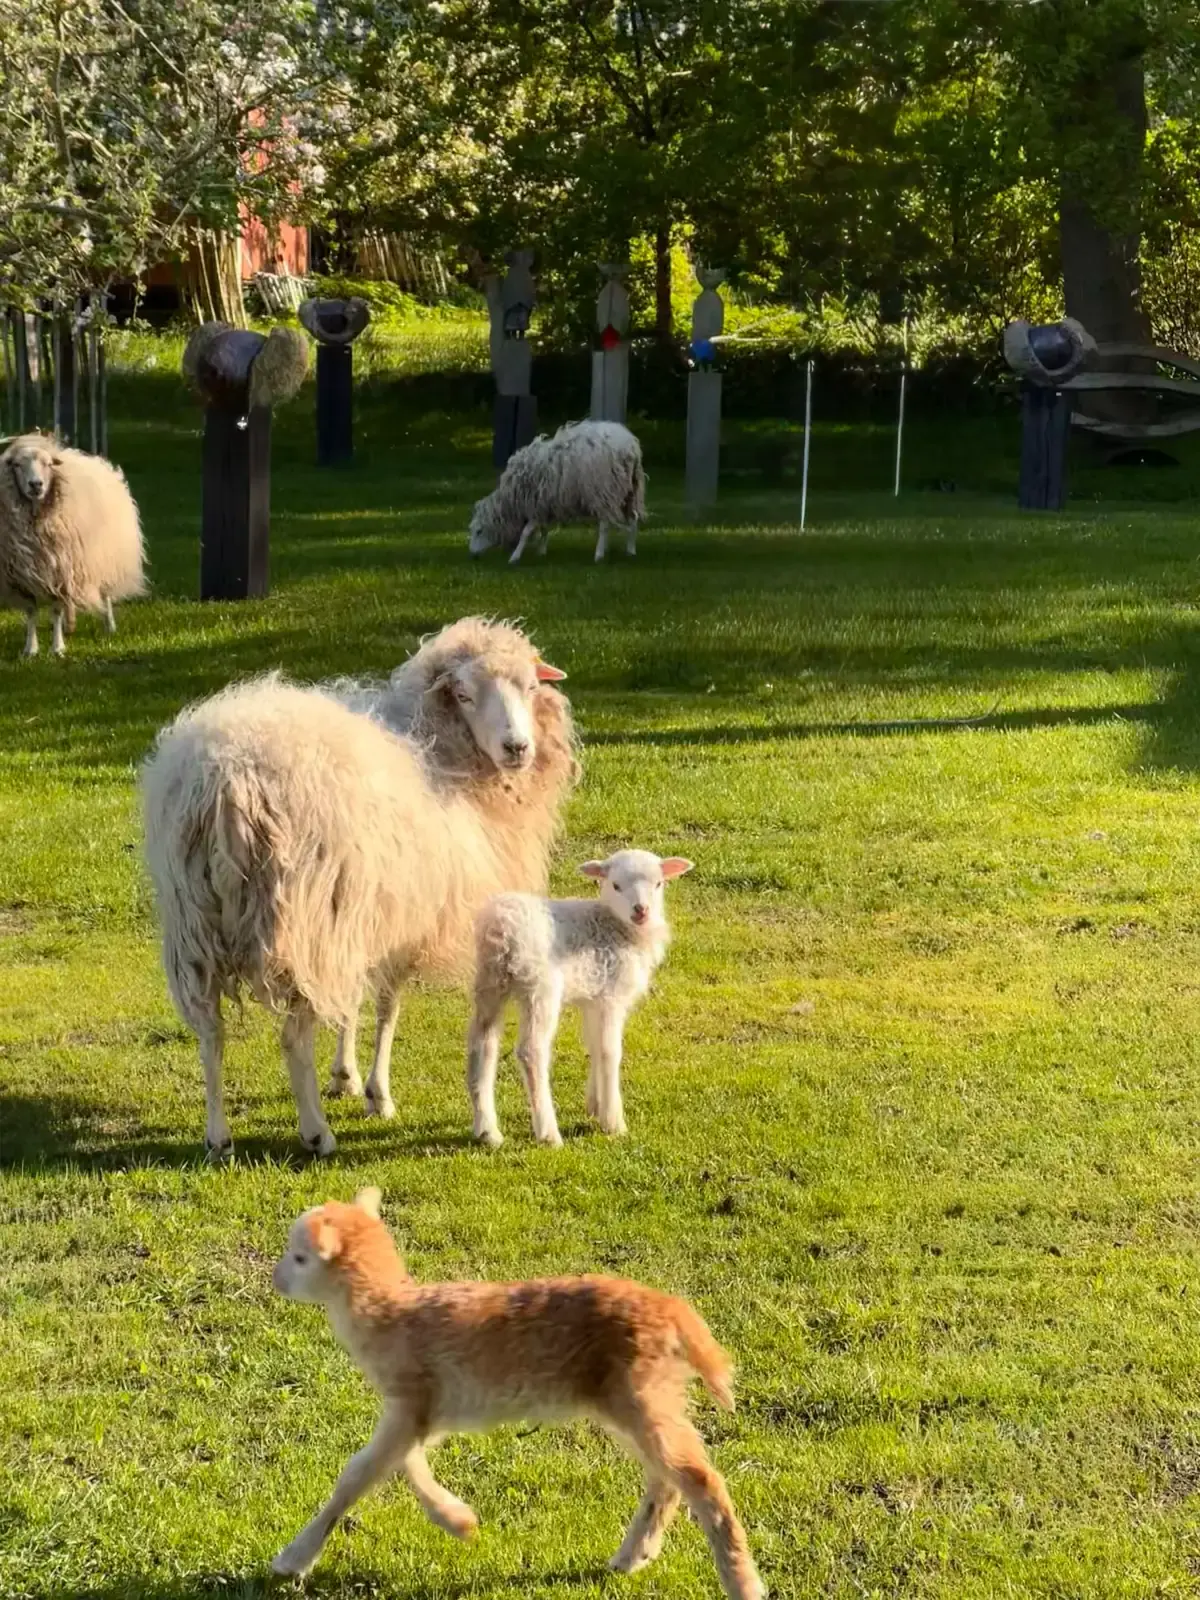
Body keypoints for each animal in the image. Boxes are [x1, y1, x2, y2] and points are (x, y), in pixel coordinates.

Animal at [0, 433, 146, 657]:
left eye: (48, 464)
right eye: (17, 465)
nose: (36, 485)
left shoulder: (62, 572)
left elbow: (56, 610)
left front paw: (57, 648)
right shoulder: (23, 576)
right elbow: (31, 612)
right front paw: (30, 649)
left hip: (104, 560)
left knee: (106, 596)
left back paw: (109, 625)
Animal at [141, 618, 577, 1160]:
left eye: (531, 687)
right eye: (463, 694)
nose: (518, 748)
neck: (434, 744)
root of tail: (228, 784)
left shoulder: (363, 914)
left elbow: (350, 1004)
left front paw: (344, 1076)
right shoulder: (396, 922)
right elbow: (388, 1007)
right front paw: (377, 1093)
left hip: (195, 926)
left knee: (209, 1032)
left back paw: (218, 1136)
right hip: (298, 923)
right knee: (292, 1037)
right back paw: (316, 1133)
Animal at [467, 849, 693, 1148]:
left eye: (658, 884)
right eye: (616, 885)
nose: (641, 910)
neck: (614, 926)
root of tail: (501, 927)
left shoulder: (594, 997)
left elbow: (595, 1046)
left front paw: (595, 1105)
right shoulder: (611, 996)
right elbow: (610, 1051)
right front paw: (613, 1122)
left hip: (490, 983)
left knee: (482, 1044)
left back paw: (487, 1131)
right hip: (540, 987)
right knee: (531, 1051)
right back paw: (548, 1133)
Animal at [468, 420, 645, 565]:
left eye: (479, 531)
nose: (472, 556)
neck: (512, 499)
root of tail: (630, 447)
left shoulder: (536, 504)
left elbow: (526, 532)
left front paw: (515, 557)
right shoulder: (545, 504)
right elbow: (544, 529)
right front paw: (541, 551)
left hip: (604, 491)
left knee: (604, 524)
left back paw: (599, 554)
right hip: (631, 490)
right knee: (633, 518)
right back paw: (631, 550)